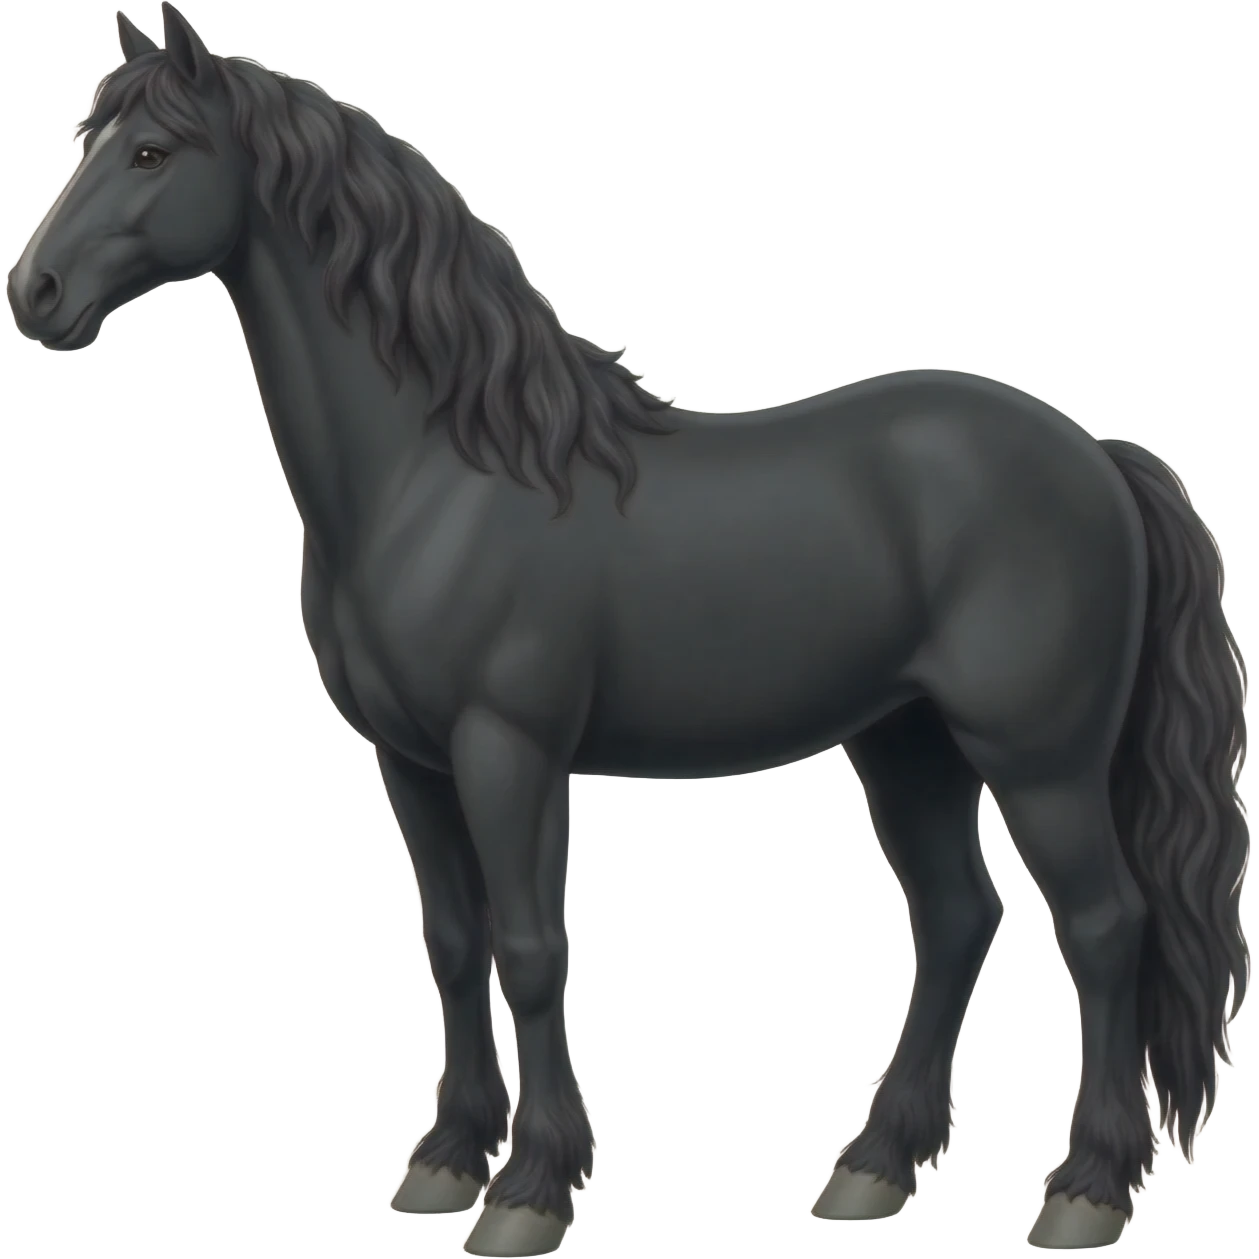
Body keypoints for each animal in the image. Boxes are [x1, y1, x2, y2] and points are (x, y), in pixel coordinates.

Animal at [7, 6, 1250, 1254]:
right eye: (84, 137)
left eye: (152, 152)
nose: (36, 291)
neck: (436, 475)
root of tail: (1097, 456)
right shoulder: (410, 761)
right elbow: (452, 946)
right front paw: (446, 1158)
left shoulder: (508, 750)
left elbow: (528, 950)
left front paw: (528, 1188)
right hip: (908, 744)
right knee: (957, 918)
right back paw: (870, 1168)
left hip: (1037, 760)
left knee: (1104, 928)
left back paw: (1082, 1187)